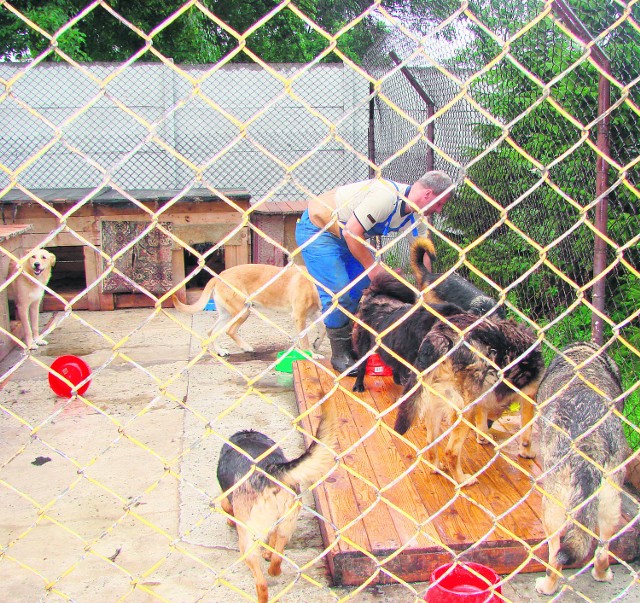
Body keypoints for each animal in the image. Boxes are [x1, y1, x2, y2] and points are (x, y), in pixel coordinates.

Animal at [171, 264, 324, 356]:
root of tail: (218, 277)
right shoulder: (299, 316)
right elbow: (304, 338)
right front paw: (311, 354)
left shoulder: (314, 313)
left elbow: (321, 330)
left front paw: (316, 343)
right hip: (243, 311)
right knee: (230, 330)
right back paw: (246, 347)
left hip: (226, 314)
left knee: (212, 332)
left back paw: (220, 351)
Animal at [536, 342, 624, 596]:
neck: (583, 355)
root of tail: (588, 441)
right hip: (610, 501)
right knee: (602, 548)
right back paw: (602, 573)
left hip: (552, 506)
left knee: (556, 556)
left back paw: (546, 586)